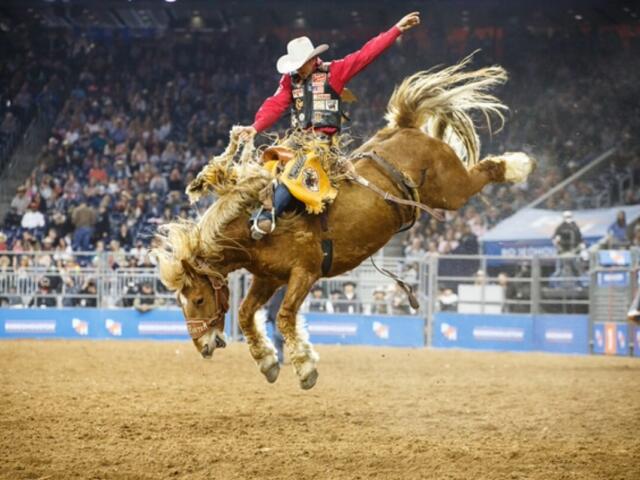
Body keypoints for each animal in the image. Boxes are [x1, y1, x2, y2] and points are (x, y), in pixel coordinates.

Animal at [153, 55, 535, 390]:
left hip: (451, 190)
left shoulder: (305, 272)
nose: (204, 346)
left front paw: (304, 368)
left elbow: (285, 316)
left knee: (484, 171)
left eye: (197, 299)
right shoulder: (268, 277)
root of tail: (404, 127)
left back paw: (519, 164)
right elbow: (247, 314)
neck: (255, 226)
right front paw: (268, 361)